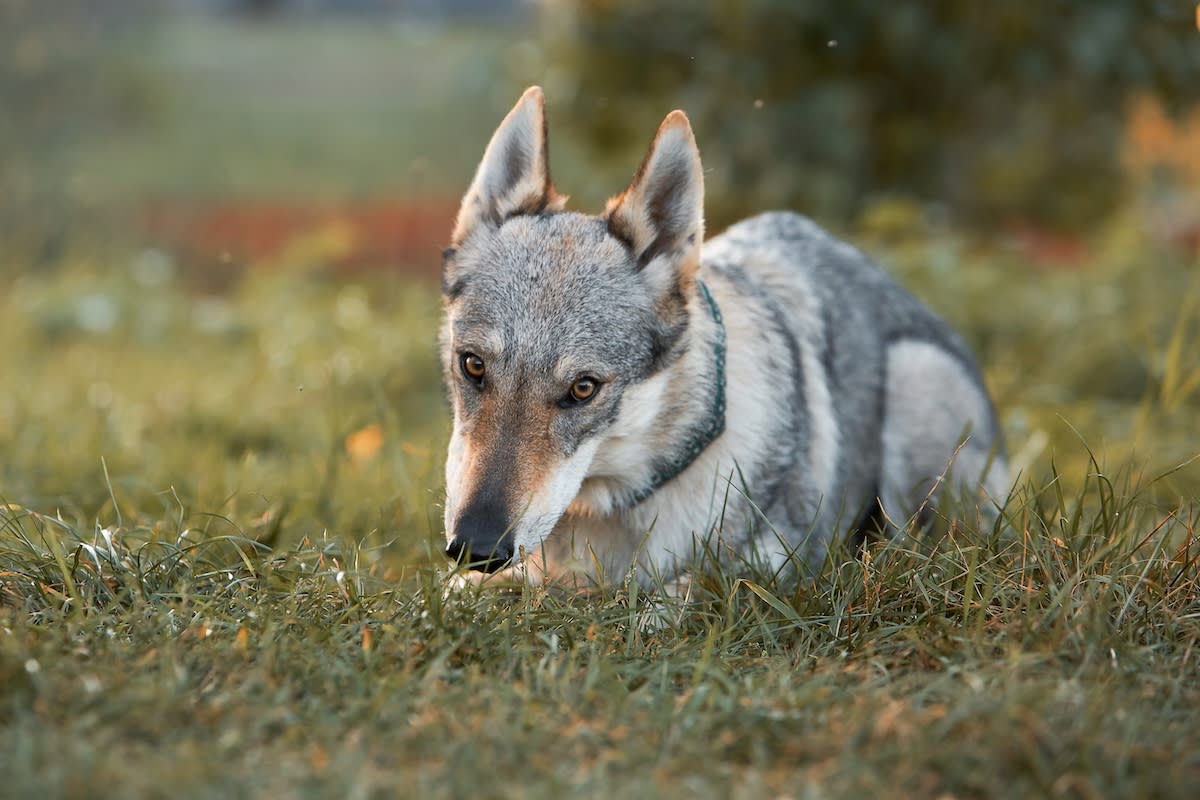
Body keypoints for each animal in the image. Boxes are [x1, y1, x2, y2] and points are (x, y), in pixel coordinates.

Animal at [439, 87, 1003, 587]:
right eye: (473, 366)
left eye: (583, 389)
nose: (476, 548)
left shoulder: (769, 573)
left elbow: (662, 598)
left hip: (917, 386)